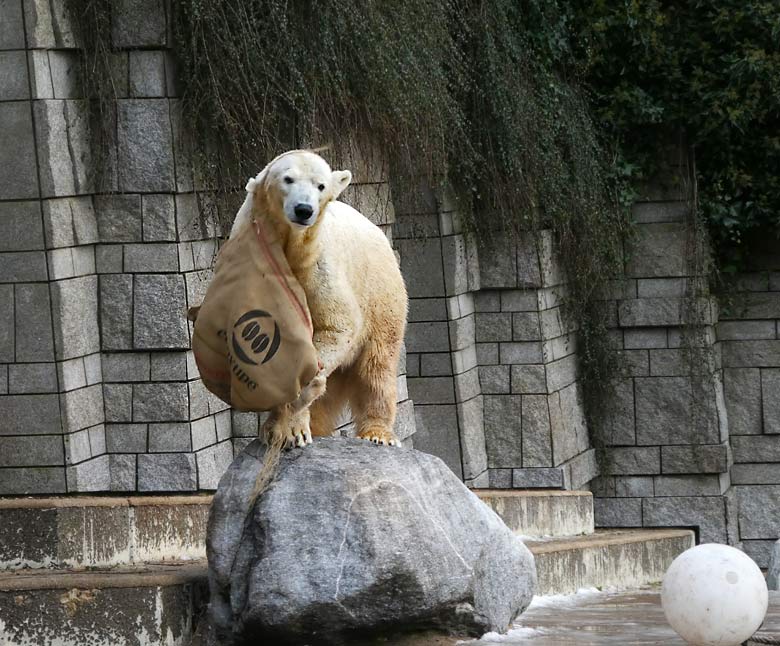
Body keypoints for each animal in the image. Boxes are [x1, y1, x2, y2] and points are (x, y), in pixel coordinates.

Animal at [230, 149, 408, 448]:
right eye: (288, 178)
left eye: (321, 186)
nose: (304, 209)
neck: (288, 249)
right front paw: (281, 428)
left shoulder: (318, 266)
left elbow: (336, 325)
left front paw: (291, 429)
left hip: (381, 295)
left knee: (377, 366)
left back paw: (378, 433)